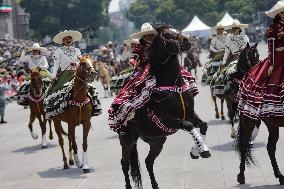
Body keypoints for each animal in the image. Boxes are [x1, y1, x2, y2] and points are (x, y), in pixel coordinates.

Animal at [118, 27, 211, 189]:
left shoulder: (190, 114)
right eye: (167, 35)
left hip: (157, 140)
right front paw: (203, 150)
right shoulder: (168, 119)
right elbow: (189, 125)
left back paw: (155, 185)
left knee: (148, 162)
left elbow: (203, 125)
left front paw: (196, 151)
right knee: (125, 163)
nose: (187, 41)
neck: (174, 86)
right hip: (127, 140)